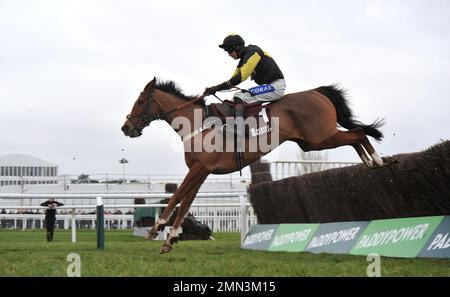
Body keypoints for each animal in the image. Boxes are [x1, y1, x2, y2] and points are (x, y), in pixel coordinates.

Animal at [120, 76, 384, 252]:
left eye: (141, 101)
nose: (126, 127)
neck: (197, 124)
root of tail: (316, 92)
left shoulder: (199, 169)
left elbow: (176, 197)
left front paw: (157, 229)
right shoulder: (201, 172)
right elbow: (185, 202)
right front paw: (170, 238)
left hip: (321, 136)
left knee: (358, 133)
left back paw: (377, 160)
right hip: (312, 142)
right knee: (355, 136)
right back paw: (369, 161)